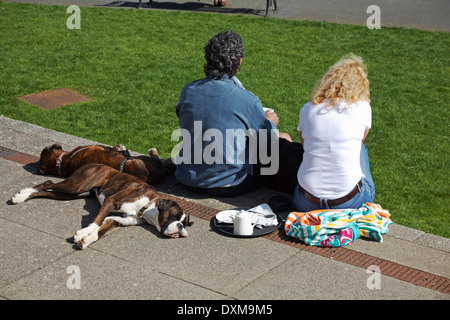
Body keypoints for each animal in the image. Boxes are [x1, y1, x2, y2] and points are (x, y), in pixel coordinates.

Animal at [11, 162, 192, 250]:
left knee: (47, 191)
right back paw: (22, 194)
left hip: (71, 194)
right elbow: (95, 223)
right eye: (174, 216)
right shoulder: (110, 202)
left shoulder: (116, 220)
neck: (146, 207)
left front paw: (86, 240)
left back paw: (24, 196)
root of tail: (93, 163)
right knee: (48, 183)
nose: (181, 226)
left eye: (185, 223)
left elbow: (100, 231)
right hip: (74, 186)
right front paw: (82, 233)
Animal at [37, 144, 174, 186]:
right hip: (140, 159)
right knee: (156, 157)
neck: (62, 162)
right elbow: (116, 148)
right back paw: (154, 151)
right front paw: (120, 148)